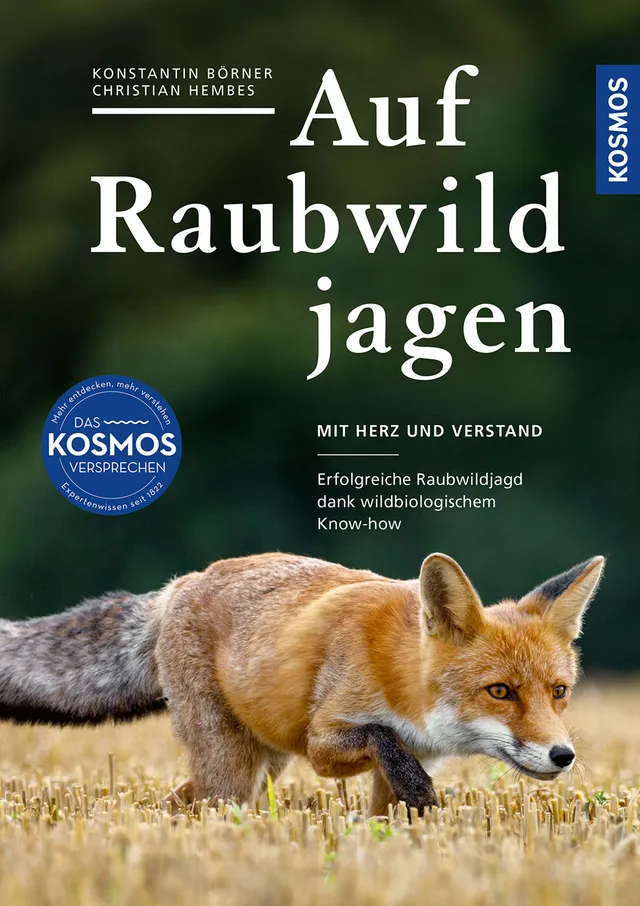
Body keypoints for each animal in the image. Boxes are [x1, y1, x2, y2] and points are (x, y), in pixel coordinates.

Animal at [0, 552, 604, 815]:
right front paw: (421, 794)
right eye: (500, 691)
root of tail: (181, 583)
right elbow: (381, 737)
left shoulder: (412, 757)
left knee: (173, 803)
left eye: (559, 692)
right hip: (232, 766)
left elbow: (389, 810)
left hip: (258, 763)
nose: (563, 755)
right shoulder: (323, 741)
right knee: (205, 804)